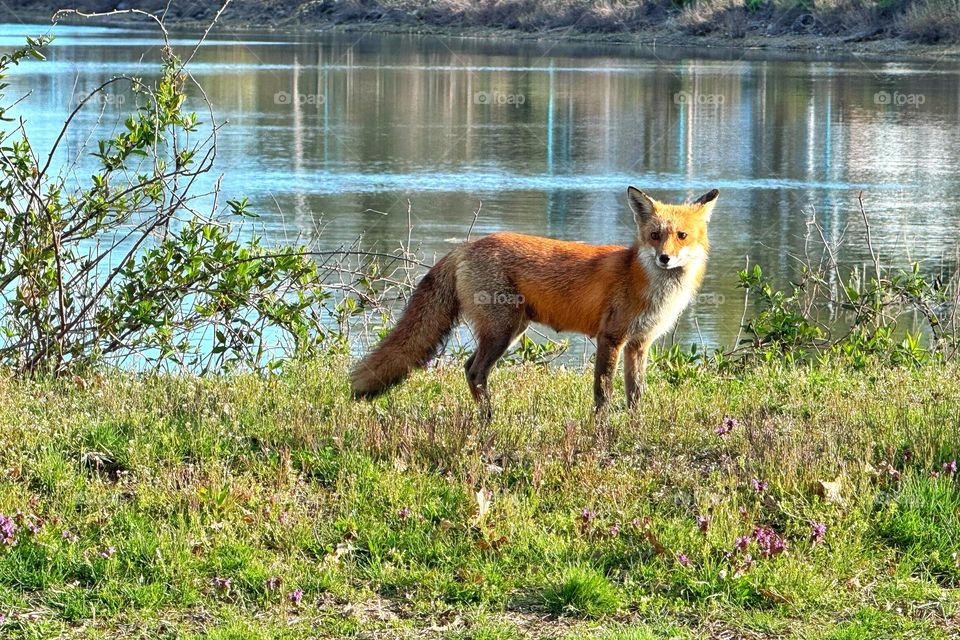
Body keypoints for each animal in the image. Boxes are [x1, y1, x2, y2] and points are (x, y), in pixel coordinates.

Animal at [352, 185, 720, 416]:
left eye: (681, 236)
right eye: (655, 236)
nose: (664, 259)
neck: (645, 283)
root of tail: (466, 247)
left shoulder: (638, 344)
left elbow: (635, 394)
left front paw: (634, 426)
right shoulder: (610, 337)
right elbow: (603, 392)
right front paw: (600, 430)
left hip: (511, 330)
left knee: (470, 368)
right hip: (501, 332)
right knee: (474, 371)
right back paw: (489, 421)